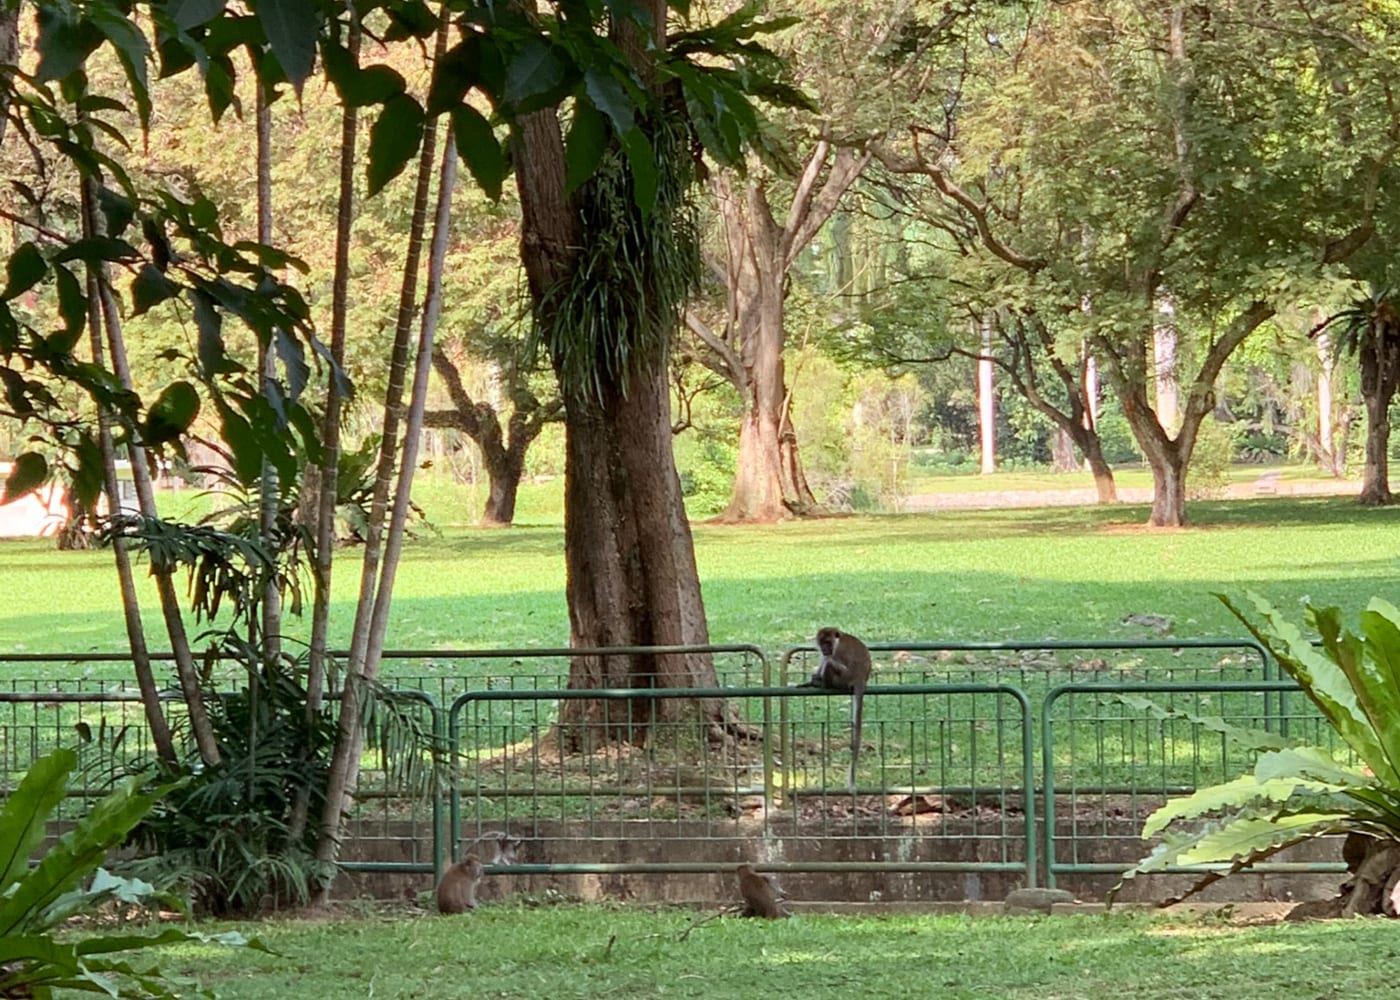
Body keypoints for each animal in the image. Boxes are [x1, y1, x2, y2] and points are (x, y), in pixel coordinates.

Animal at [806, 621, 868, 784]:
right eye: (822, 642)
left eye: (828, 642)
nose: (824, 649)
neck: (837, 641)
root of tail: (861, 678)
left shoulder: (837, 652)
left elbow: (829, 660)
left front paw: (817, 680)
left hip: (844, 679)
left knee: (829, 663)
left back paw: (822, 685)